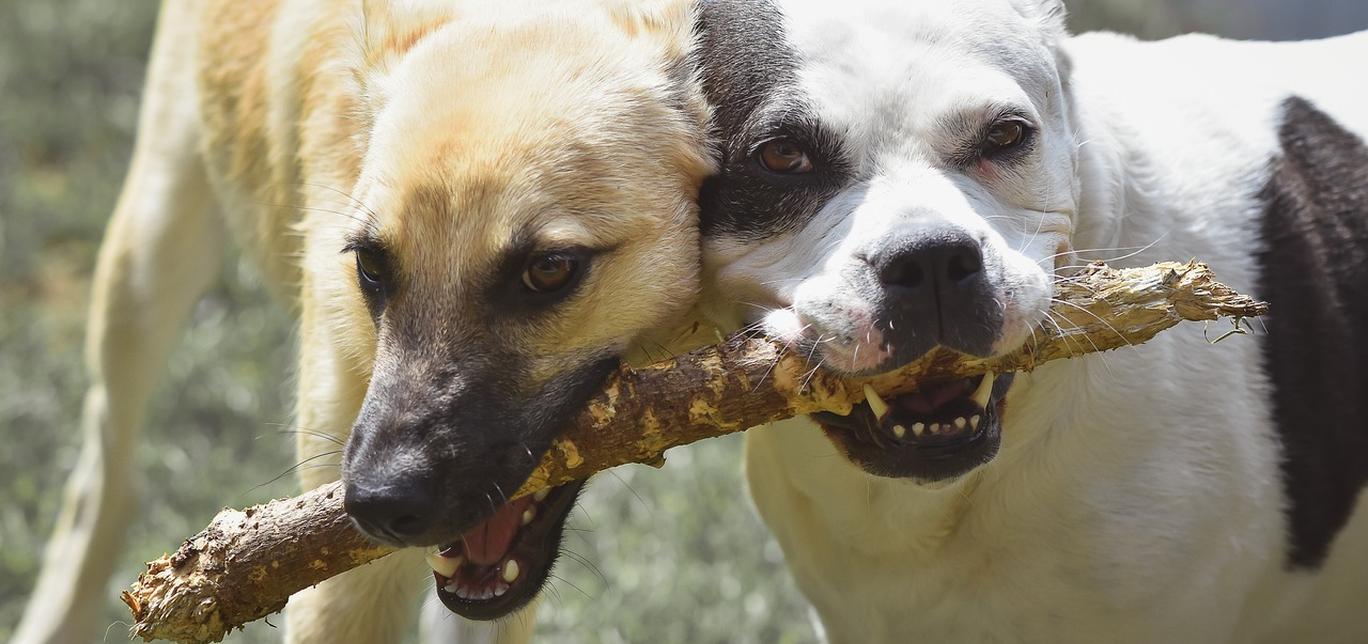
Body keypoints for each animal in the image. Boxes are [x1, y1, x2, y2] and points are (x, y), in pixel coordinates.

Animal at [16, 1, 711, 644]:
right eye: (371, 264)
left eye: (548, 269)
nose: (378, 504)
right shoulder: (341, 587)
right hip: (147, 257)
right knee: (102, 476)